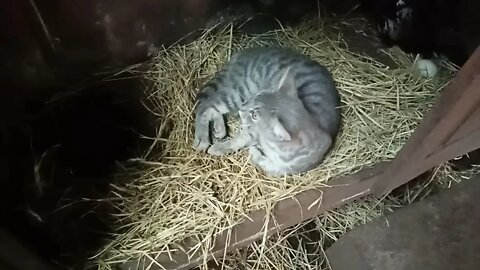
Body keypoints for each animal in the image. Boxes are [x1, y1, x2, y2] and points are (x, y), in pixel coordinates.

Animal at [192, 47, 342, 176]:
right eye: (258, 95)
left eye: (254, 115)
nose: (244, 106)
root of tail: (247, 52)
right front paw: (219, 148)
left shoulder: (285, 167)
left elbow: (265, 162)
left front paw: (251, 151)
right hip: (238, 92)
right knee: (206, 105)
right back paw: (202, 138)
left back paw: (219, 128)